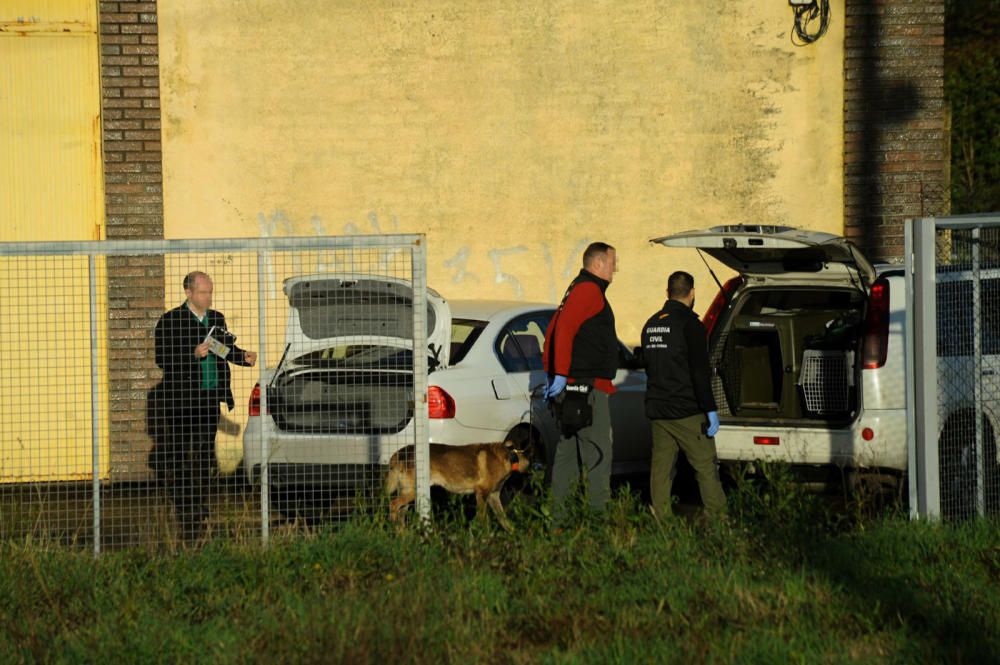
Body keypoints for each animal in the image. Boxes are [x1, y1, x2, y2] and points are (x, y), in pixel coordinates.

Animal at [382, 440, 532, 528]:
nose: (531, 474)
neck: (510, 456)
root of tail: (399, 453)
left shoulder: (493, 496)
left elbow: (504, 520)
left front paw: (513, 537)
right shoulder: (482, 494)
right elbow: (482, 520)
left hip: (409, 493)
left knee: (400, 513)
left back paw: (403, 536)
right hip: (412, 491)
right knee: (393, 505)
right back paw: (393, 529)